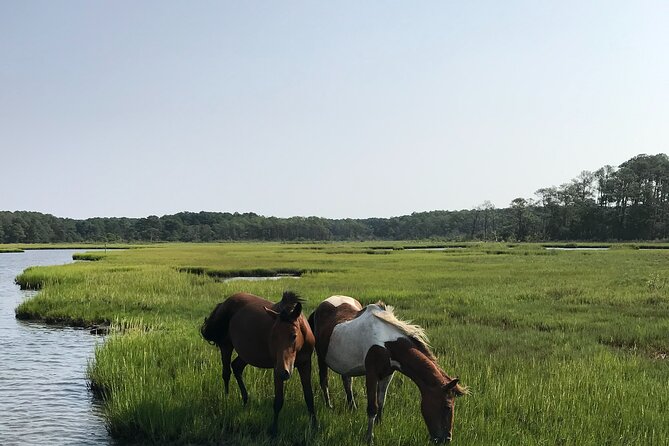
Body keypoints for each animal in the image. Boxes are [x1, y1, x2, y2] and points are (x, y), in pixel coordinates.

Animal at [200, 290, 318, 434]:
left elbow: (309, 397)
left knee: (236, 367)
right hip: (226, 346)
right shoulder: (277, 369)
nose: (284, 372)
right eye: (273, 336)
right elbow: (278, 401)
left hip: (246, 354)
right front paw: (274, 430)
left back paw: (245, 400)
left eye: (294, 335)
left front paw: (314, 426)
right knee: (226, 372)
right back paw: (227, 399)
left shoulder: (305, 364)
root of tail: (224, 303)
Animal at [310, 294, 470, 444]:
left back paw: (352, 407)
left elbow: (381, 401)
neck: (385, 343)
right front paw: (369, 438)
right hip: (321, 358)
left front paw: (379, 424)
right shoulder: (371, 374)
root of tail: (320, 306)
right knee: (324, 381)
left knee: (347, 381)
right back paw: (329, 406)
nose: (446, 439)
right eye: (447, 407)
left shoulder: (388, 374)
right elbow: (372, 407)